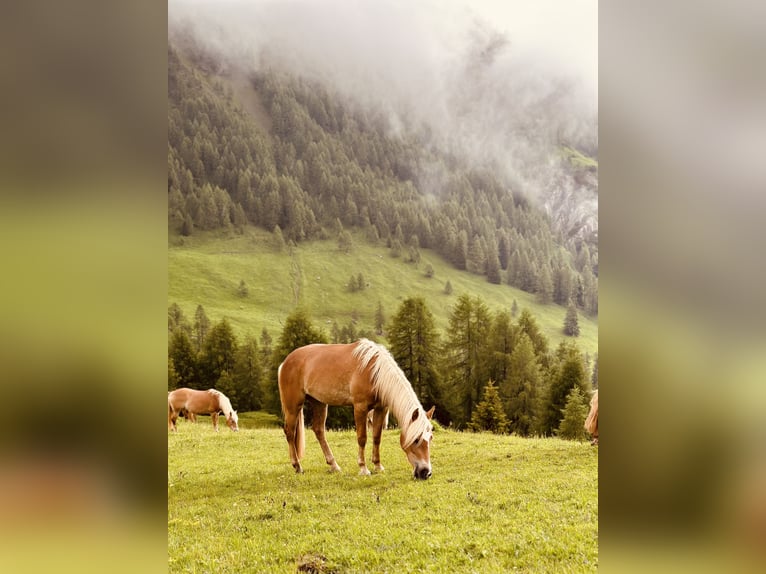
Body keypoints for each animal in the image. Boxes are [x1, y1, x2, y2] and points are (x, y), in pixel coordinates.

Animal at [280, 340, 438, 480]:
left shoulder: (381, 408)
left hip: (319, 403)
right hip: (293, 406)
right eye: (416, 439)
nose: (426, 473)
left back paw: (334, 465)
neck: (374, 371)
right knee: (290, 432)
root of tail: (285, 362)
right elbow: (362, 438)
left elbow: (377, 437)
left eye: (430, 438)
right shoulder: (360, 407)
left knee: (319, 431)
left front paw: (378, 466)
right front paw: (363, 469)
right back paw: (297, 466)